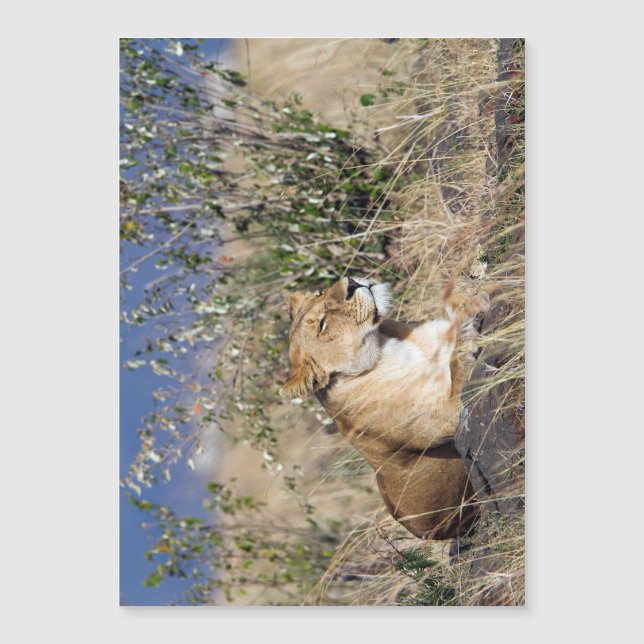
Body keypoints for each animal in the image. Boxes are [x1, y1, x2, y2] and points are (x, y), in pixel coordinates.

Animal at [280, 276, 489, 540]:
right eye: (321, 324)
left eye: (320, 291)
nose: (351, 283)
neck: (385, 348)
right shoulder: (447, 417)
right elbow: (457, 367)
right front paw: (466, 329)